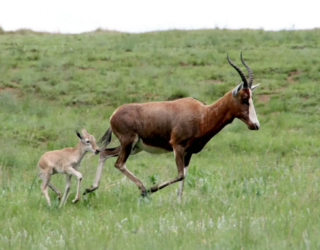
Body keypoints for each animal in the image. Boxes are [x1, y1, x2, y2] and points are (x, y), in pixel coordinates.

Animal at [84, 52, 260, 199]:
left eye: (251, 97)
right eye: (244, 98)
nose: (255, 125)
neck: (202, 113)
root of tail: (114, 114)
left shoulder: (189, 152)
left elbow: (184, 176)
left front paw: (178, 203)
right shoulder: (177, 146)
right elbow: (180, 175)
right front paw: (152, 189)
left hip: (135, 147)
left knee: (104, 153)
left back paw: (90, 188)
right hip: (129, 143)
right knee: (119, 163)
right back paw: (143, 189)